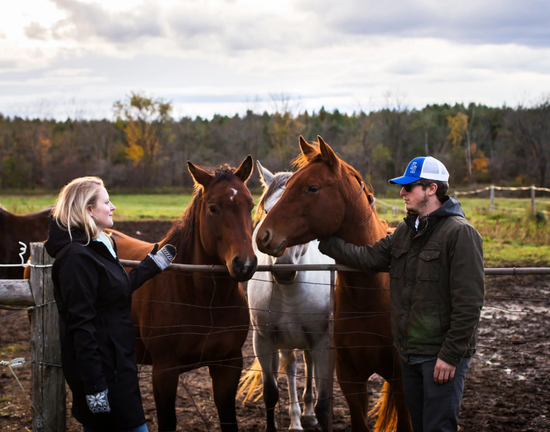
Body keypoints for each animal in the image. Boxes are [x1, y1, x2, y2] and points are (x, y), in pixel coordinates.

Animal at [111, 156, 260, 432]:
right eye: (213, 208)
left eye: (250, 205)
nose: (244, 263)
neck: (205, 300)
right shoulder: (164, 371)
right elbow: (167, 421)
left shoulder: (228, 364)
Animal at [240, 162, 334, 432]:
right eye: (267, 210)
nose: (283, 270)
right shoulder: (263, 341)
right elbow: (271, 393)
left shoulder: (323, 341)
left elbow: (324, 401)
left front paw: (313, 412)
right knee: (292, 367)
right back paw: (296, 420)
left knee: (307, 362)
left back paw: (307, 415)